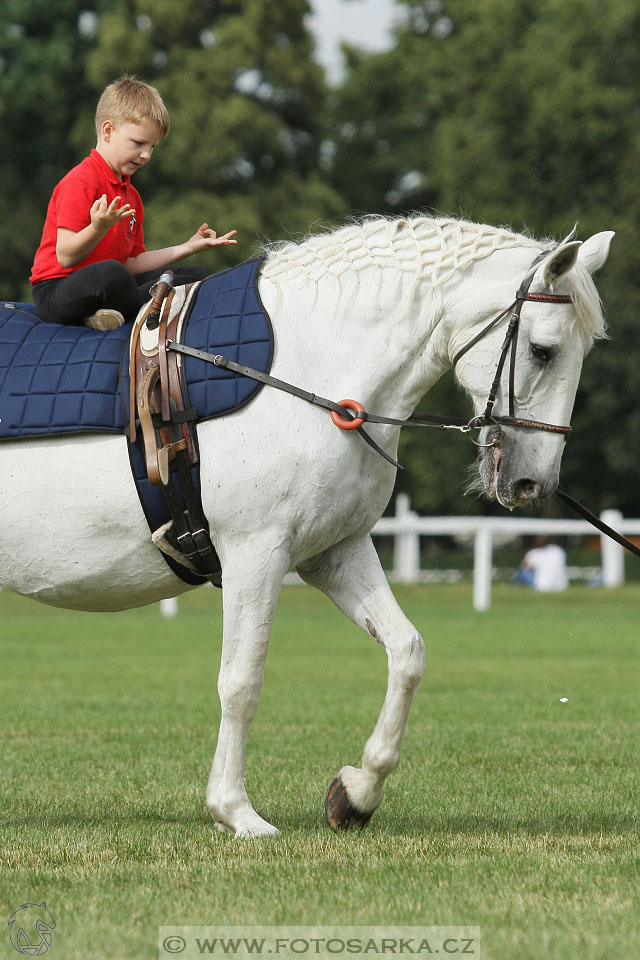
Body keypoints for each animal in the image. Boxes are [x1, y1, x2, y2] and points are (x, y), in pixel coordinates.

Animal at [0, 216, 612, 832]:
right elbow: (242, 681)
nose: (534, 482)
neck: (309, 368)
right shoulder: (254, 554)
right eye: (542, 350)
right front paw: (236, 811)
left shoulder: (335, 552)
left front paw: (357, 792)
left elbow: (407, 653)